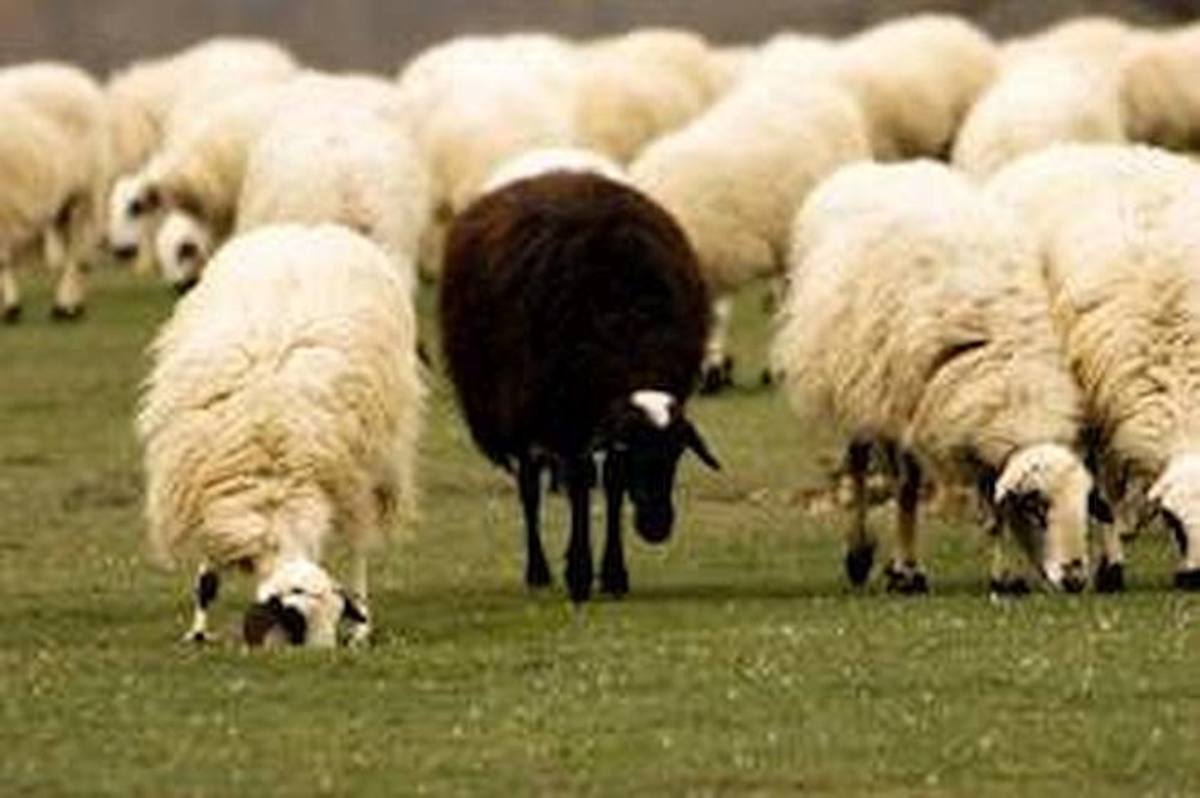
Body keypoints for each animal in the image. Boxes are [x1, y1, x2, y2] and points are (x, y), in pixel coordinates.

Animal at [0, 62, 110, 322]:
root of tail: (78, 78)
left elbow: (2, 260)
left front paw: (10, 308)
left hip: (85, 194)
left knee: (77, 253)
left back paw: (64, 307)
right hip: (63, 203)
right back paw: (75, 304)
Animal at [137, 223, 423, 646]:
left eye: (333, 619)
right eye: (294, 623)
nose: (325, 655)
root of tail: (309, 229)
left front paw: (359, 625)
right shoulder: (210, 487)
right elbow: (207, 577)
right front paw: (198, 631)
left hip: (373, 461)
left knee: (359, 542)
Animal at [440, 171, 720, 603]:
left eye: (676, 453)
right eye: (635, 451)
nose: (656, 526)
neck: (628, 335)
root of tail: (549, 175)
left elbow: (612, 485)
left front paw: (614, 575)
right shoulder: (566, 416)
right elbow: (580, 484)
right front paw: (579, 574)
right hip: (522, 412)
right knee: (530, 490)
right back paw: (538, 572)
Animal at [773, 160, 1102, 594]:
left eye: (1085, 503)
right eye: (1036, 507)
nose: (1076, 578)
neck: (1008, 364)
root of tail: (881, 168)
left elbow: (990, 508)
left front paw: (1003, 576)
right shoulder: (912, 404)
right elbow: (909, 488)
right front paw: (908, 572)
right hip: (856, 379)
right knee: (859, 463)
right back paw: (859, 554)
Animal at [985, 144, 1200, 591]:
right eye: (1174, 522)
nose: (1197, 579)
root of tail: (1067, 149)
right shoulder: (1097, 407)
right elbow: (1104, 495)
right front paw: (1113, 568)